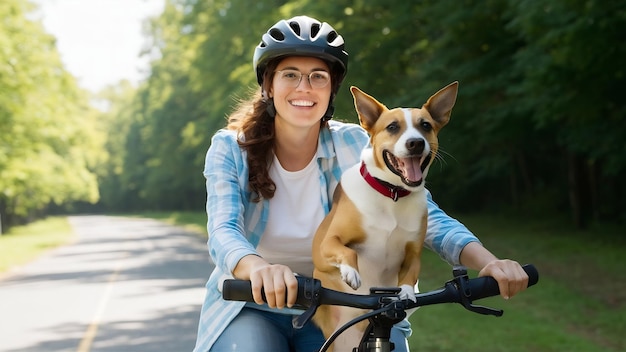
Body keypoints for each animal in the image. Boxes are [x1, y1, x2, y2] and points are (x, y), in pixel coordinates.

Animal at [312, 82, 458, 350]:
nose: (415, 143)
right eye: (392, 127)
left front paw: (407, 293)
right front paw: (351, 272)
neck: (392, 194)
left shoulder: (413, 252)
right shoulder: (327, 243)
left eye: (425, 125)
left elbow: (410, 275)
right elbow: (346, 251)